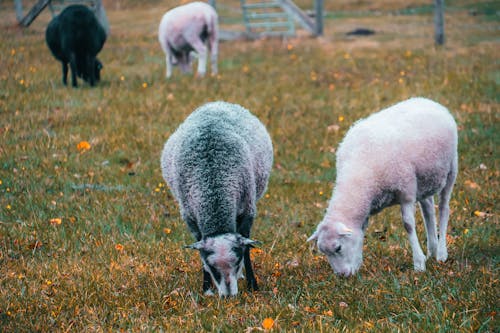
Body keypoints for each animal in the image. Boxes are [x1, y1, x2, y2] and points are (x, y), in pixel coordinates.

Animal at [161, 100, 274, 296]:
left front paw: (252, 285)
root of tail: (216, 103)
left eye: (236, 261)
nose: (228, 296)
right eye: (212, 267)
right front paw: (206, 289)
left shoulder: (247, 210)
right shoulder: (191, 219)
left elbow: (247, 248)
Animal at [310, 97, 458, 276]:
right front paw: (358, 264)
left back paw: (441, 253)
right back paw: (432, 250)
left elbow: (408, 225)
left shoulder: (406, 191)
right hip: (424, 180)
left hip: (451, 169)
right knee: (428, 209)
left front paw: (418, 263)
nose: (342, 276)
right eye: (324, 252)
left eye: (338, 248)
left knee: (444, 208)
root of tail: (428, 100)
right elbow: (361, 231)